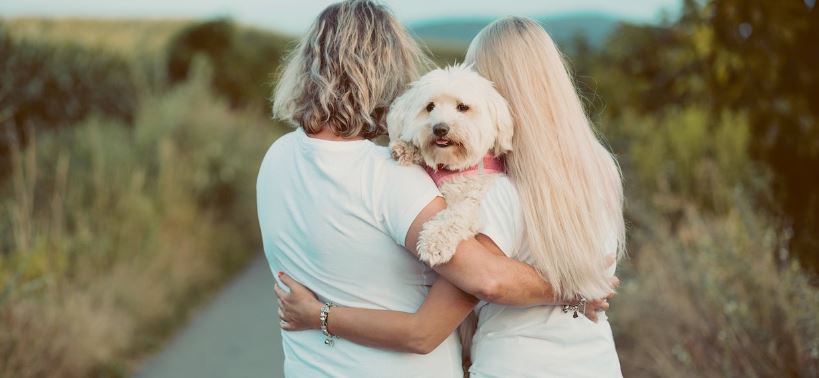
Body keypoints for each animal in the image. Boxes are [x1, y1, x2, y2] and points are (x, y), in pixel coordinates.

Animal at [386, 65, 512, 266]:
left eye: (463, 107)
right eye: (430, 107)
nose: (440, 128)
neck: (452, 167)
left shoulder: (475, 196)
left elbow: (457, 213)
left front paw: (434, 241)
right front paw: (406, 148)